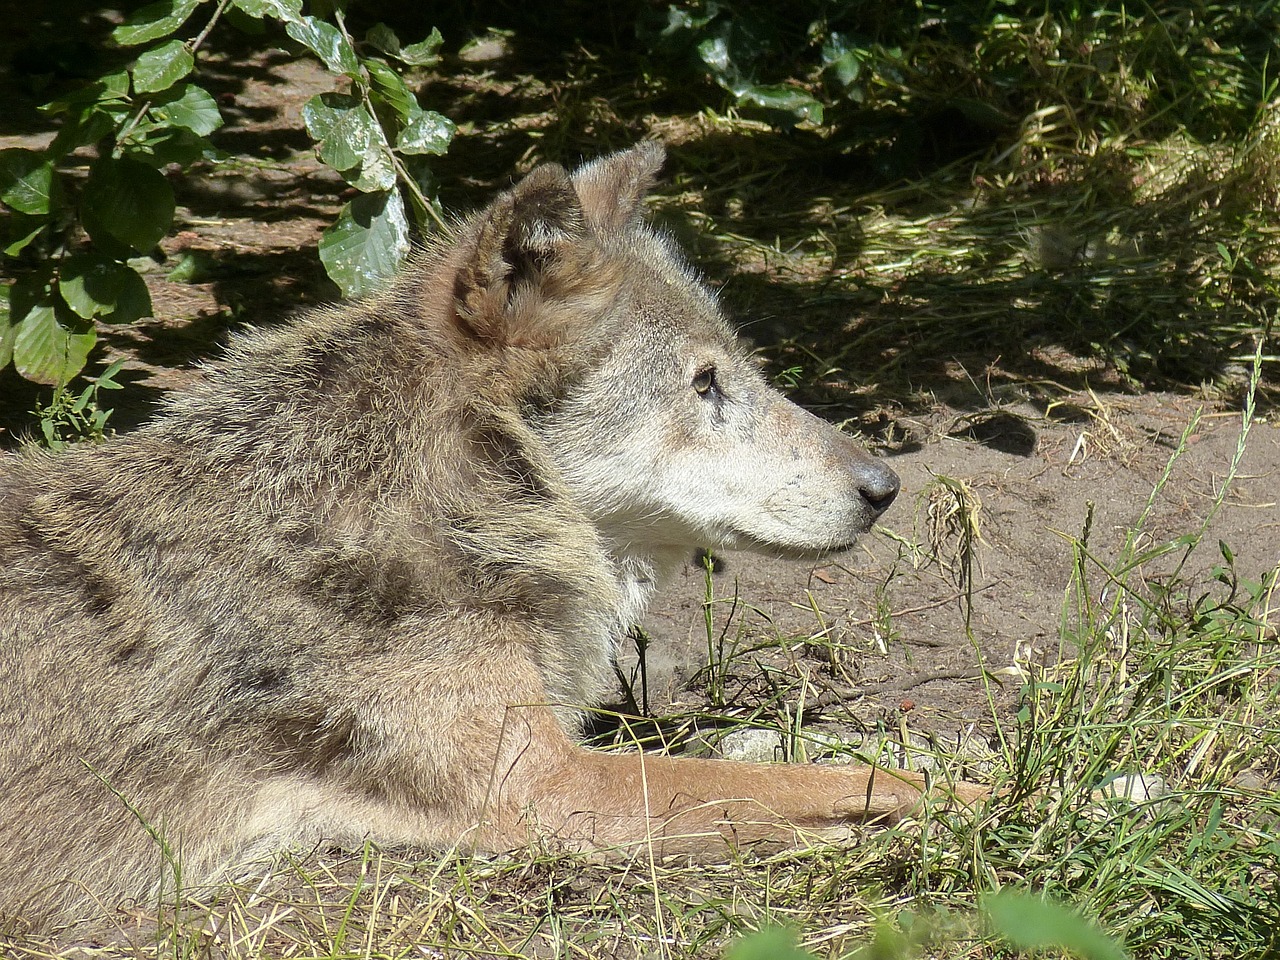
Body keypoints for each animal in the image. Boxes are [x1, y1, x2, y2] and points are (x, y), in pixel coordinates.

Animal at [0, 142, 977, 931]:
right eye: (704, 384)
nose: (886, 488)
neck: (442, 503)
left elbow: (793, 749)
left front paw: (961, 753)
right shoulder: (553, 791)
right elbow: (835, 784)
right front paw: (982, 797)